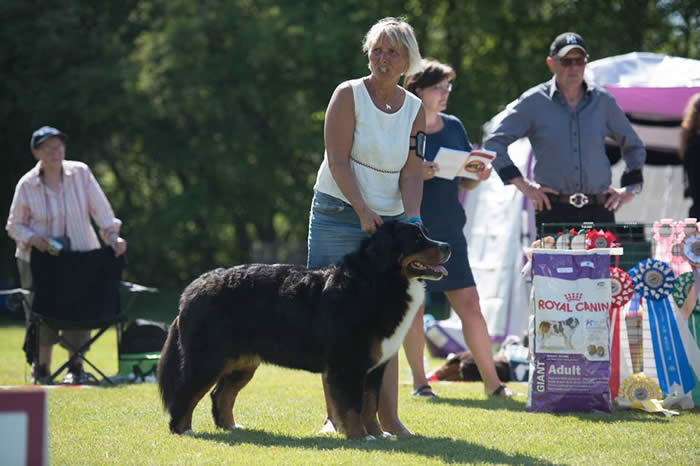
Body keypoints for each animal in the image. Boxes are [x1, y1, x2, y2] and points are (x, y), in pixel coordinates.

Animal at [158, 222, 452, 440]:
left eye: (424, 234)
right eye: (416, 239)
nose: (447, 246)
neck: (377, 282)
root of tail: (192, 289)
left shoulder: (375, 367)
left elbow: (370, 405)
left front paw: (377, 435)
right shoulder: (348, 364)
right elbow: (352, 406)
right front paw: (359, 437)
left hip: (242, 362)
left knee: (221, 395)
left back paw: (232, 426)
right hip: (207, 360)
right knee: (185, 394)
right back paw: (183, 430)